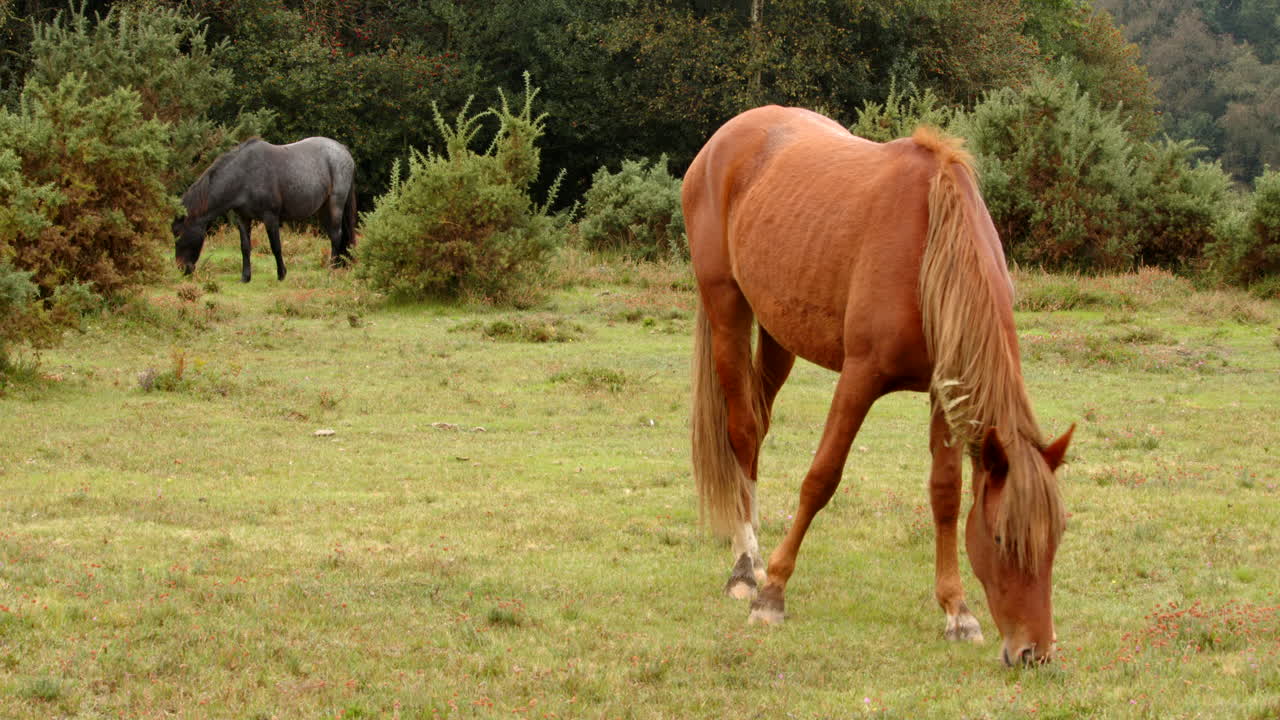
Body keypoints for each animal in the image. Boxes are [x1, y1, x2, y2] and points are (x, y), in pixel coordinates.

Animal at [173, 137, 357, 282]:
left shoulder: (270, 218)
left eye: (179, 233)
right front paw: (245, 277)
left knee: (336, 235)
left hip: (335, 204)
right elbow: (245, 247)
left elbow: (276, 246)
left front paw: (281, 274)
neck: (245, 176)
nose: (182, 268)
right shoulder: (243, 218)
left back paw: (331, 270)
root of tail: (343, 149)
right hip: (323, 209)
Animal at [684, 106, 1074, 666]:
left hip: (779, 334)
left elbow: (945, 494)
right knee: (740, 432)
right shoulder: (859, 376)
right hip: (727, 310)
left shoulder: (942, 391)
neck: (931, 245)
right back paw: (746, 567)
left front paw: (958, 611)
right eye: (1002, 539)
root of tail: (724, 138)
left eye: (1057, 537)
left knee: (756, 428)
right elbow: (821, 478)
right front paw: (773, 594)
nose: (1033, 653)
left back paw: (753, 555)